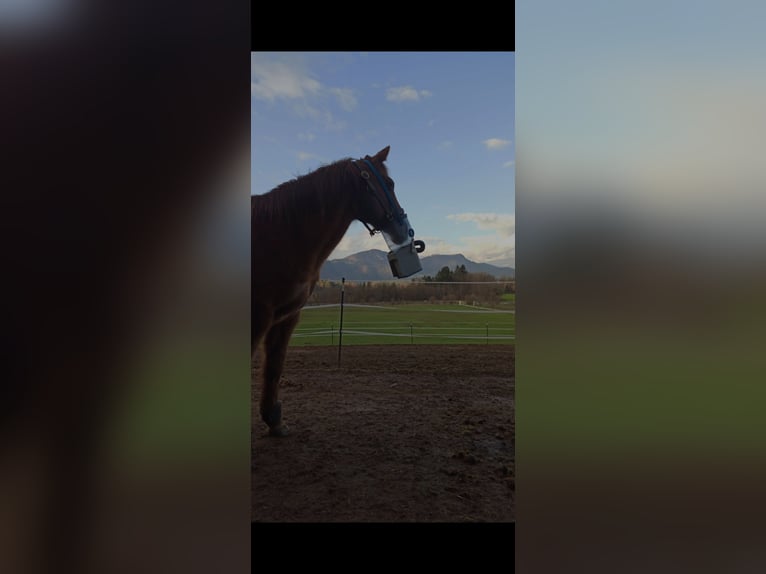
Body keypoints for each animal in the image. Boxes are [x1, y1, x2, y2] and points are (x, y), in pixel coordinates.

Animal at [255, 146, 416, 438]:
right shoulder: (259, 314)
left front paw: (274, 420)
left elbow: (274, 365)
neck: (279, 235)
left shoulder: (285, 316)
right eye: (389, 184)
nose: (405, 230)